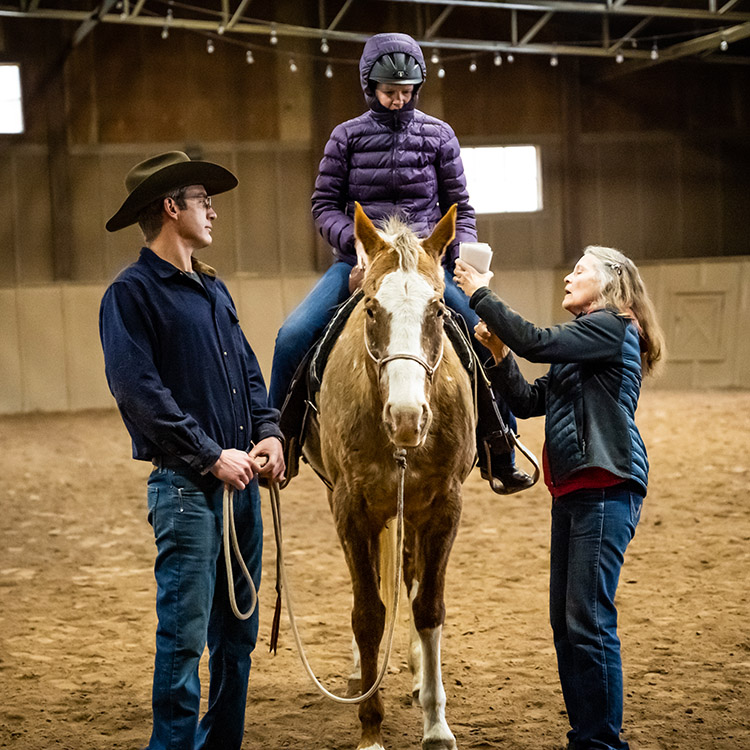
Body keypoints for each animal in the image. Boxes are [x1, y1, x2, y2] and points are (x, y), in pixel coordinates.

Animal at [304, 204, 476, 750]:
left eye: (438, 310)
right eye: (371, 309)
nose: (406, 416)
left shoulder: (444, 507)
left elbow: (428, 608)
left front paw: (436, 724)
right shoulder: (350, 509)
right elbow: (368, 613)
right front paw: (370, 728)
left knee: (409, 576)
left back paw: (418, 673)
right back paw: (362, 672)